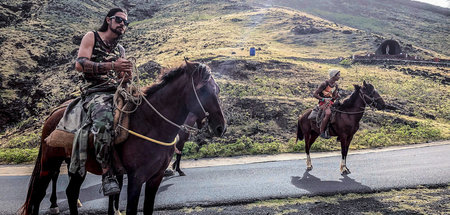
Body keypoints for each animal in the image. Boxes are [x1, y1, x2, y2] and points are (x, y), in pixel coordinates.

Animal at [19, 61, 227, 215]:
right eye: (203, 90)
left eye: (217, 90)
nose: (220, 127)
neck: (151, 124)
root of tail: (53, 114)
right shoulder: (136, 178)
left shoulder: (155, 178)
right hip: (49, 162)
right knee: (38, 194)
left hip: (77, 164)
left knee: (71, 193)